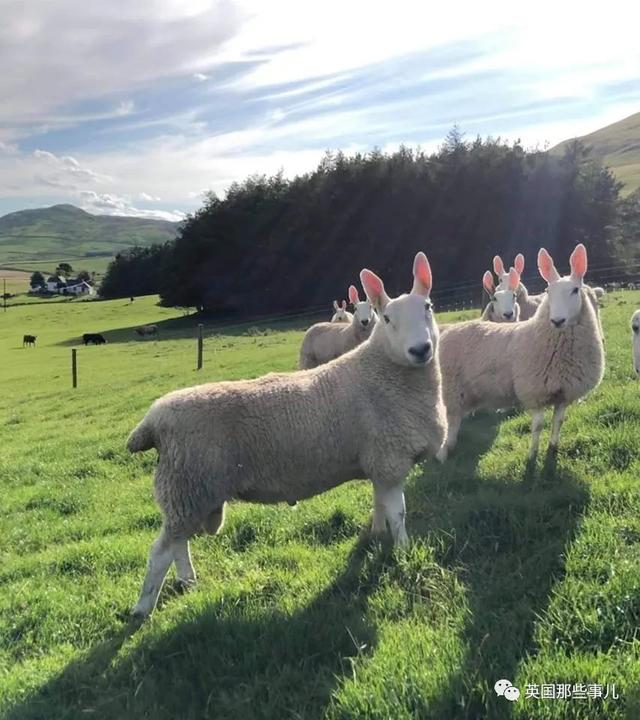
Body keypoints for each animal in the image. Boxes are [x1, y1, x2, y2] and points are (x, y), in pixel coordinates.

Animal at [127, 250, 448, 616]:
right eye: (389, 319)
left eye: (429, 307)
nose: (420, 350)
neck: (384, 372)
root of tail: (153, 419)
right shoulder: (390, 457)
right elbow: (398, 513)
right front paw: (404, 551)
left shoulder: (379, 461)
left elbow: (379, 504)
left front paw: (377, 536)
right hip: (186, 485)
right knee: (160, 552)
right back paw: (142, 609)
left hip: (191, 491)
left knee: (178, 543)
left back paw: (188, 581)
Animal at [438, 245, 608, 464]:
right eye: (548, 291)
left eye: (575, 290)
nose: (557, 320)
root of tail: (448, 330)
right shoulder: (534, 392)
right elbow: (537, 426)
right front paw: (532, 455)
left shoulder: (564, 393)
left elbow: (558, 422)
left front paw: (552, 448)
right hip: (450, 389)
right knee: (449, 421)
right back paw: (442, 453)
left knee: (455, 420)